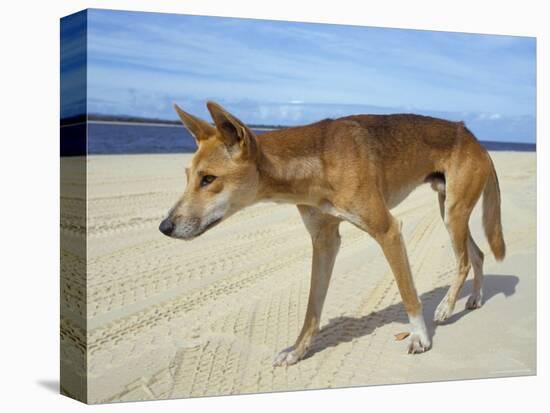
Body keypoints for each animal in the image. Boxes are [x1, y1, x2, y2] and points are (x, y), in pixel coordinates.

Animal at [160, 101, 508, 366]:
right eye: (188, 176)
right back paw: (474, 298)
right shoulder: (324, 241)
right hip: (449, 208)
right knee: (477, 254)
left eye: (208, 179)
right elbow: (312, 309)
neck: (318, 163)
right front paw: (297, 351)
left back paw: (446, 308)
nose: (164, 227)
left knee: (464, 260)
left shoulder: (388, 231)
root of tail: (475, 138)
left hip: (452, 213)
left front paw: (420, 337)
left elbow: (408, 294)